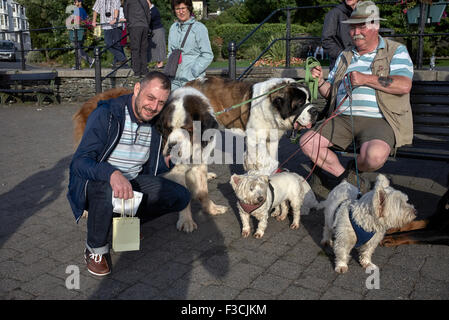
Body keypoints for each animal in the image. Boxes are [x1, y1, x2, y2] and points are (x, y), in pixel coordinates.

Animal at [186, 76, 318, 174]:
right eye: (300, 103)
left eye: (309, 100)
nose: (315, 111)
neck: (271, 107)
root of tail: (189, 84)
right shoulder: (254, 139)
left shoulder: (273, 140)